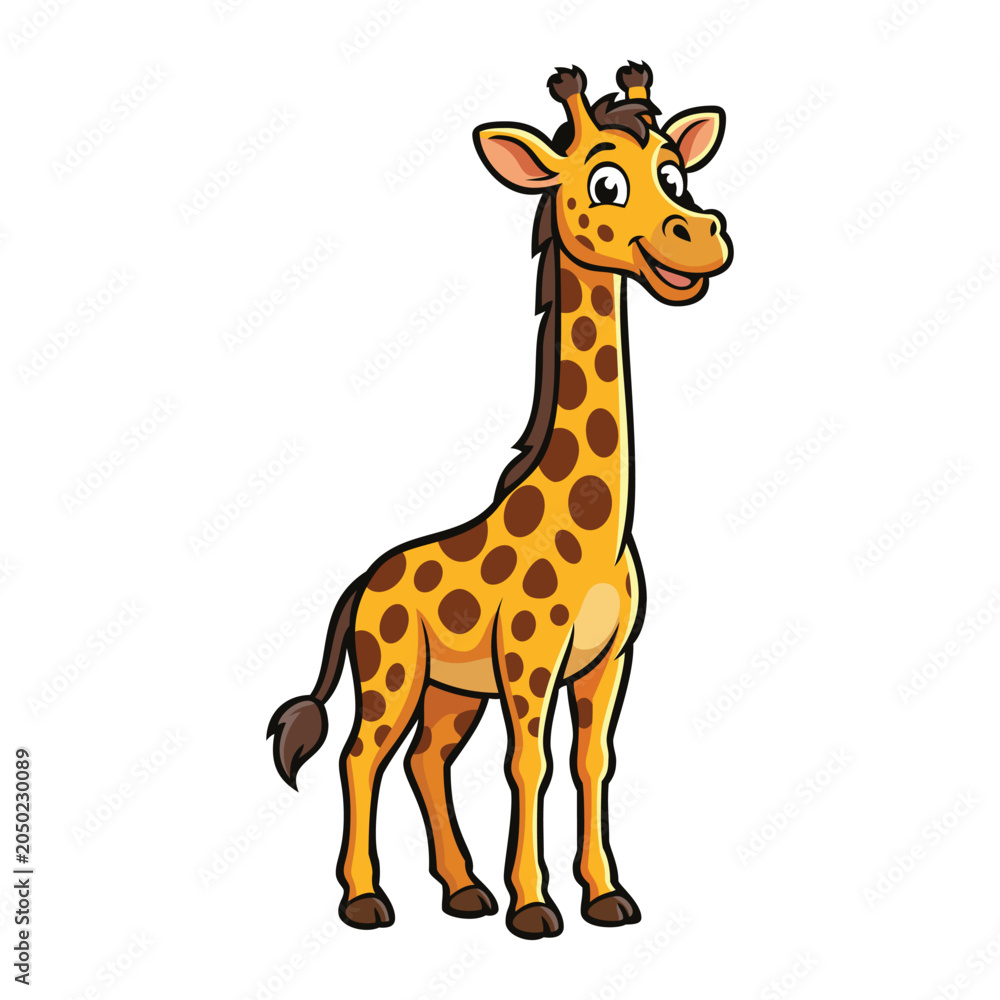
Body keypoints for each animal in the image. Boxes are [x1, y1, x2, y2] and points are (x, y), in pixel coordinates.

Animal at [268, 61, 732, 940]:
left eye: (675, 174)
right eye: (606, 182)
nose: (704, 235)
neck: (597, 531)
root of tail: (362, 584)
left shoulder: (608, 660)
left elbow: (592, 761)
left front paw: (606, 896)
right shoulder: (528, 658)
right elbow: (530, 762)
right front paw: (535, 907)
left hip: (450, 692)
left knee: (424, 760)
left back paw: (462, 891)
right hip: (393, 672)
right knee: (360, 755)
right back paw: (365, 900)